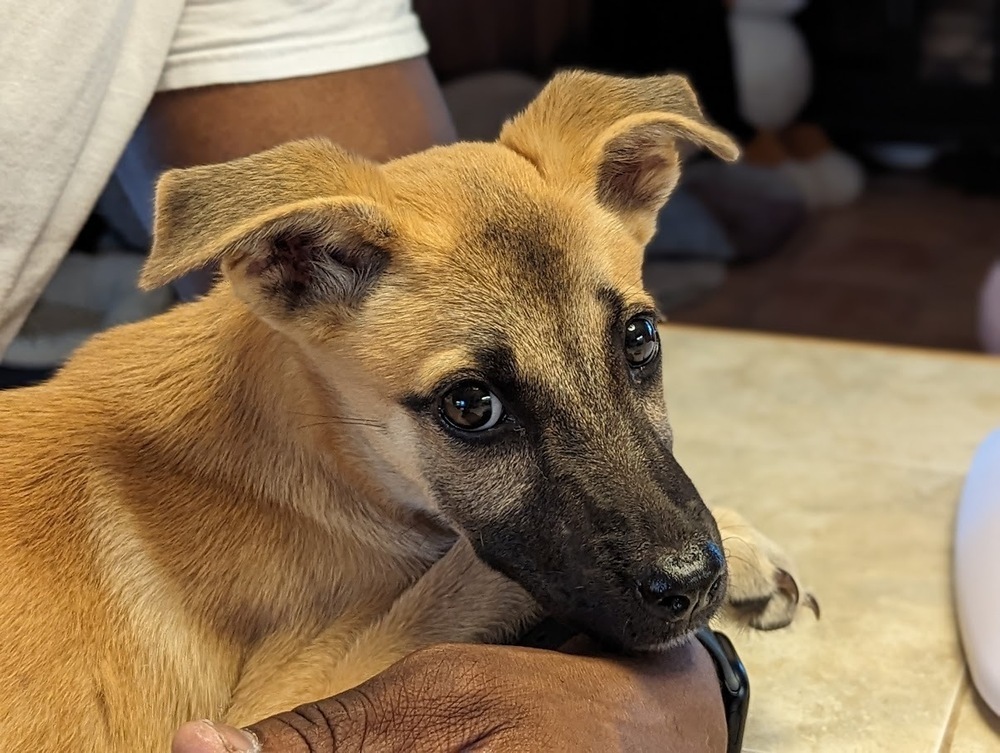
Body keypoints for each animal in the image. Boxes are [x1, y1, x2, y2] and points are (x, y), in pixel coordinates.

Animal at [0, 69, 812, 748]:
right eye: (471, 405)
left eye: (639, 337)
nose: (692, 582)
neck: (323, 448)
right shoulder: (258, 703)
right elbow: (463, 571)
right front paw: (743, 548)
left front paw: (742, 551)